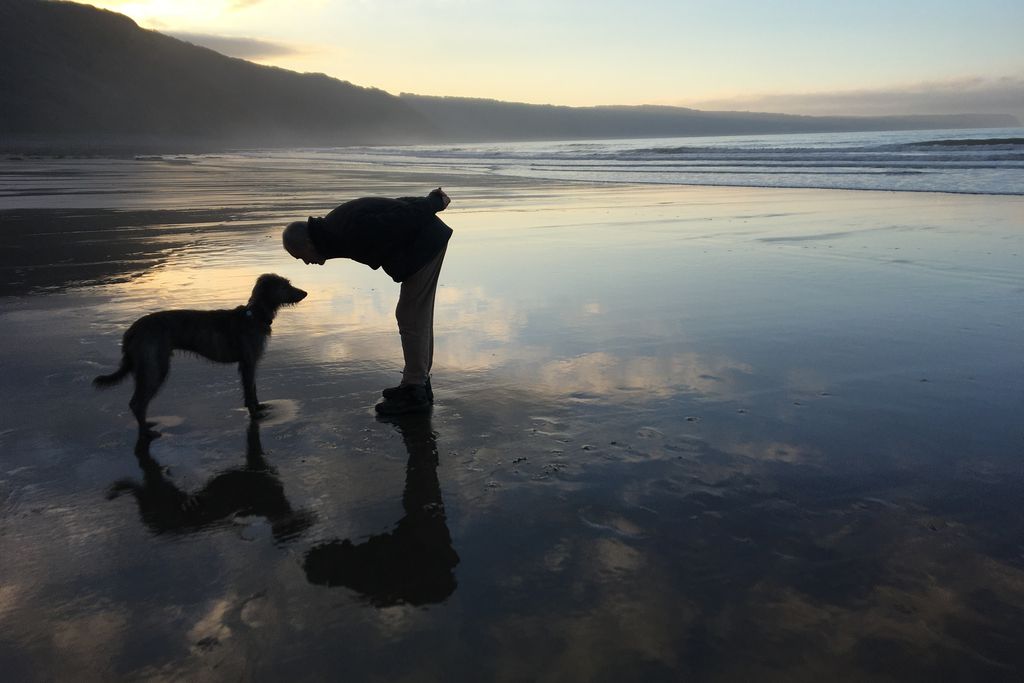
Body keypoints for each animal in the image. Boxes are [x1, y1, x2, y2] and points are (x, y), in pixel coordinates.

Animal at [94, 272, 305, 438]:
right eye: (285, 285)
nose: (305, 293)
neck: (255, 316)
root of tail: (132, 330)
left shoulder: (249, 363)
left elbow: (252, 389)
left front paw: (259, 407)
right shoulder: (248, 362)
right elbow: (249, 389)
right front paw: (255, 414)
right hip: (154, 365)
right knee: (137, 402)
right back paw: (146, 432)